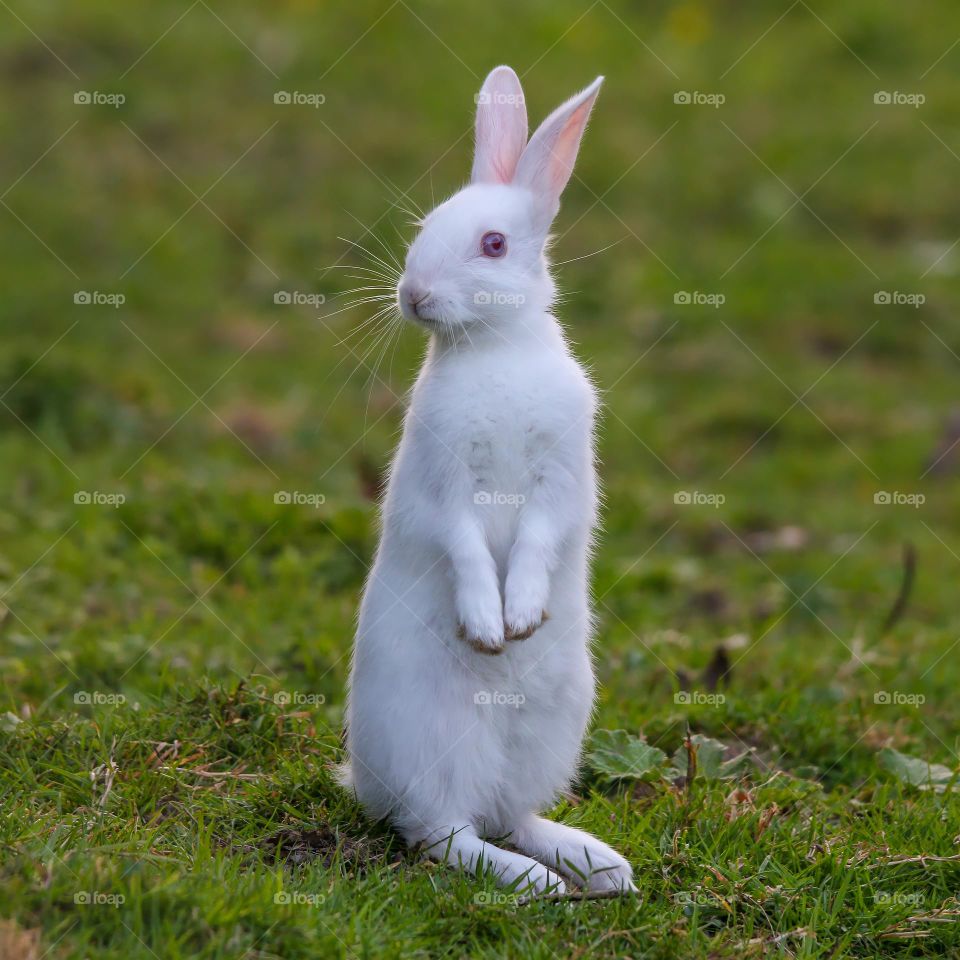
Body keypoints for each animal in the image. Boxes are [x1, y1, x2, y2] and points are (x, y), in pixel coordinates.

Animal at [342, 65, 632, 892]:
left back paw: (597, 866)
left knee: (509, 816)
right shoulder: (447, 485)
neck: (494, 345)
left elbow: (535, 538)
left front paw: (522, 617)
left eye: (493, 244)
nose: (412, 296)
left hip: (552, 732)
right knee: (444, 833)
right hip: (432, 748)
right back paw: (541, 884)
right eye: (424, 226)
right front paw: (487, 626)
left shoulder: (558, 477)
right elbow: (467, 546)